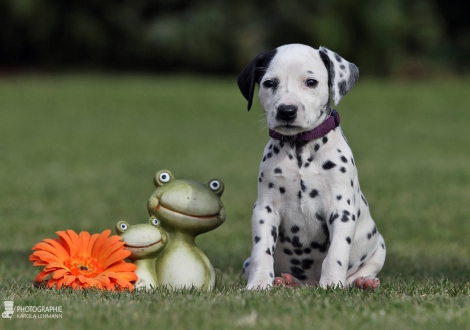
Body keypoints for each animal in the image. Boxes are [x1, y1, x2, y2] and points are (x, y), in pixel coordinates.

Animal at [239, 43, 386, 288]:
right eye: (269, 83)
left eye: (310, 82)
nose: (286, 111)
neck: (301, 150)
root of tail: (310, 283)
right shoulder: (265, 208)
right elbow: (262, 251)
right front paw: (259, 284)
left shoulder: (341, 210)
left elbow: (336, 253)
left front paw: (332, 284)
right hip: (248, 263)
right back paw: (287, 282)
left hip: (379, 248)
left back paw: (363, 282)